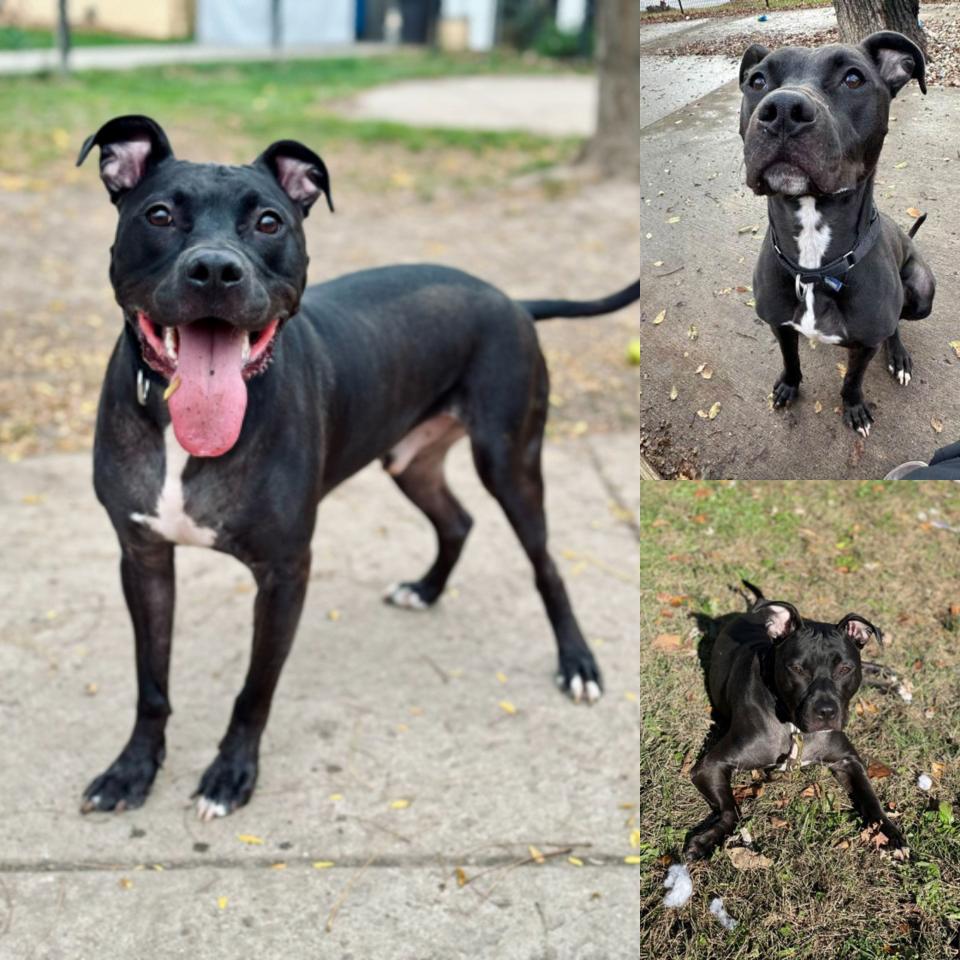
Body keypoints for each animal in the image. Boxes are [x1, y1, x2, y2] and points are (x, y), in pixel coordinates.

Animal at [79, 112, 640, 816]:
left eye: (269, 222)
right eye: (158, 215)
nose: (213, 269)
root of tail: (511, 300)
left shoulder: (285, 573)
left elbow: (254, 691)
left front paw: (231, 773)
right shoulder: (144, 559)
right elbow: (151, 682)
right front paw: (132, 770)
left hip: (510, 461)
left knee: (546, 565)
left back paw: (577, 664)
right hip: (411, 461)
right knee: (457, 521)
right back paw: (425, 589)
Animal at [688, 580, 904, 860]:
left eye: (845, 669)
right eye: (797, 669)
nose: (826, 712)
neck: (794, 728)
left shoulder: (848, 760)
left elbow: (871, 799)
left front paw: (890, 833)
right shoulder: (710, 765)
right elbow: (731, 810)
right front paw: (706, 840)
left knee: (867, 666)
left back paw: (892, 680)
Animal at [740, 30, 932, 436]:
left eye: (853, 79)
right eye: (758, 81)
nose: (783, 110)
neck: (814, 265)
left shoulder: (865, 344)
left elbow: (852, 380)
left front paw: (854, 407)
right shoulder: (779, 324)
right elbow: (790, 359)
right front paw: (789, 385)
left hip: (921, 294)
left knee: (896, 324)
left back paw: (899, 356)